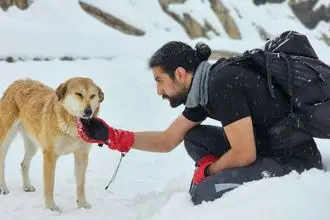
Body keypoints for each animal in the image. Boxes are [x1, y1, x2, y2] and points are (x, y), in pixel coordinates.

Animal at [0, 77, 104, 211]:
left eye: (92, 96)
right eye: (79, 94)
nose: (88, 111)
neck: (73, 128)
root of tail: (16, 82)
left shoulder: (82, 156)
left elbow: (81, 185)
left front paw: (82, 204)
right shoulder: (50, 155)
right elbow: (49, 185)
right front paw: (51, 207)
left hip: (32, 145)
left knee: (23, 164)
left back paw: (27, 186)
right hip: (6, 140)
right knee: (2, 162)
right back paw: (3, 188)